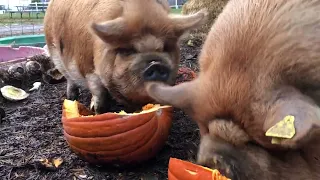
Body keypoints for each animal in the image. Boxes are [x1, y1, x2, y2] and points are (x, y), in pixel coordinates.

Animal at [43, 0, 209, 113]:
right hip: (55, 54)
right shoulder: (87, 66)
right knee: (69, 78)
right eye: (128, 50)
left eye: (165, 47)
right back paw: (71, 97)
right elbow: (98, 91)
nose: (155, 64)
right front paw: (97, 110)